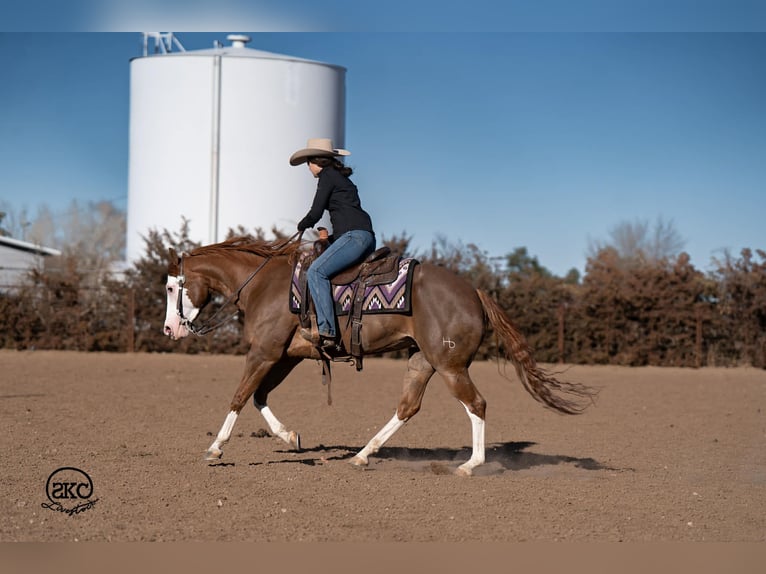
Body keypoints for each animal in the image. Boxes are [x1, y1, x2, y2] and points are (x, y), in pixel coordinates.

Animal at [163, 235, 597, 476]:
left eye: (171, 287)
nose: (170, 329)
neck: (263, 284)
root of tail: (474, 292)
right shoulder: (285, 356)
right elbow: (258, 396)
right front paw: (291, 437)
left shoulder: (265, 352)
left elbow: (239, 396)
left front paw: (215, 449)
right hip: (422, 361)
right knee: (408, 407)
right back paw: (362, 455)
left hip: (450, 365)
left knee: (476, 404)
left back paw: (470, 466)